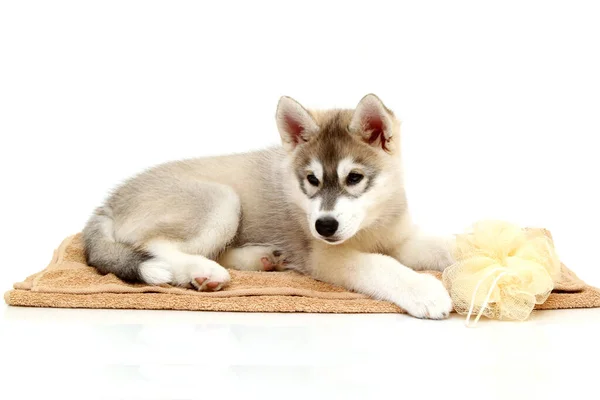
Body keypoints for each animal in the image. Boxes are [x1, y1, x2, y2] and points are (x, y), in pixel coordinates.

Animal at [82, 94, 452, 318]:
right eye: (312, 179)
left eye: (355, 178)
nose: (324, 226)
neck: (370, 224)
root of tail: (108, 202)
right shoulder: (326, 256)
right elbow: (382, 267)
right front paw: (424, 291)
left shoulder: (400, 239)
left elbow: (442, 246)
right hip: (222, 200)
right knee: (155, 245)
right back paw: (204, 272)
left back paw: (260, 258)